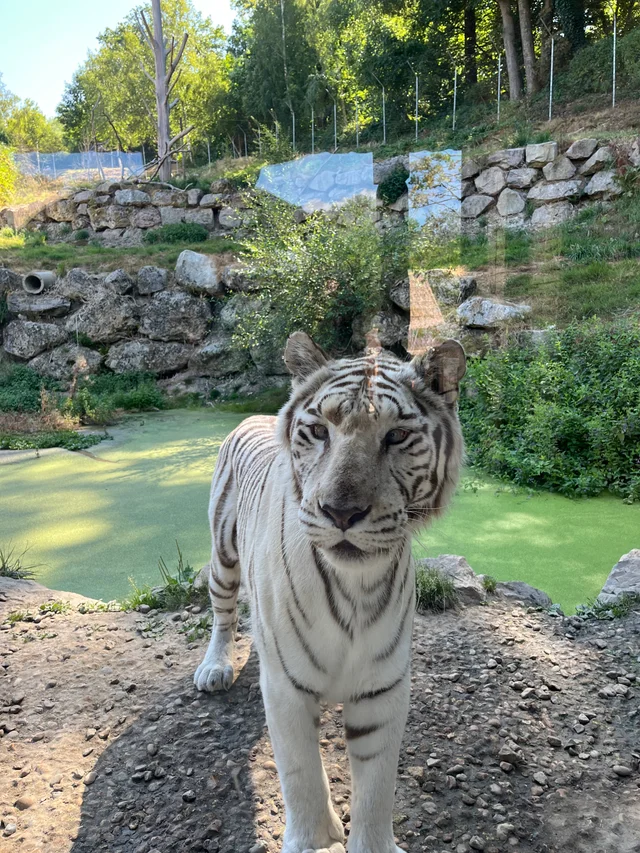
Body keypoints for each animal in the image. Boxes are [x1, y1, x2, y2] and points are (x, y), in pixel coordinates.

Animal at [194, 331, 466, 853]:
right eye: (320, 431)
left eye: (396, 436)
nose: (341, 512)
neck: (355, 588)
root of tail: (254, 415)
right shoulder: (286, 690)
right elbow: (300, 776)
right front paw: (314, 840)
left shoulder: (383, 688)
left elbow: (376, 788)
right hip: (222, 555)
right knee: (222, 613)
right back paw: (215, 667)